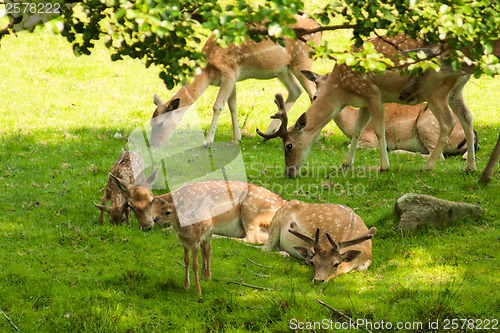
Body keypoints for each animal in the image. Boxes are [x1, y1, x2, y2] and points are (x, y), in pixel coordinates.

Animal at [148, 13, 322, 147]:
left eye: (161, 123)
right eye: (150, 121)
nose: (154, 144)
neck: (208, 71)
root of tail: (319, 29)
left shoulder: (228, 72)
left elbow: (218, 105)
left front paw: (207, 141)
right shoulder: (233, 77)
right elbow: (233, 105)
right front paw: (236, 138)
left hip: (302, 58)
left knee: (313, 93)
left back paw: (314, 137)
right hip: (283, 69)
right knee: (296, 90)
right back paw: (269, 132)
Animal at [300, 69, 480, 157]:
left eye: (332, 83)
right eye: (316, 81)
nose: (315, 97)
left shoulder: (370, 138)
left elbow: (351, 145)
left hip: (427, 125)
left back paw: (397, 151)